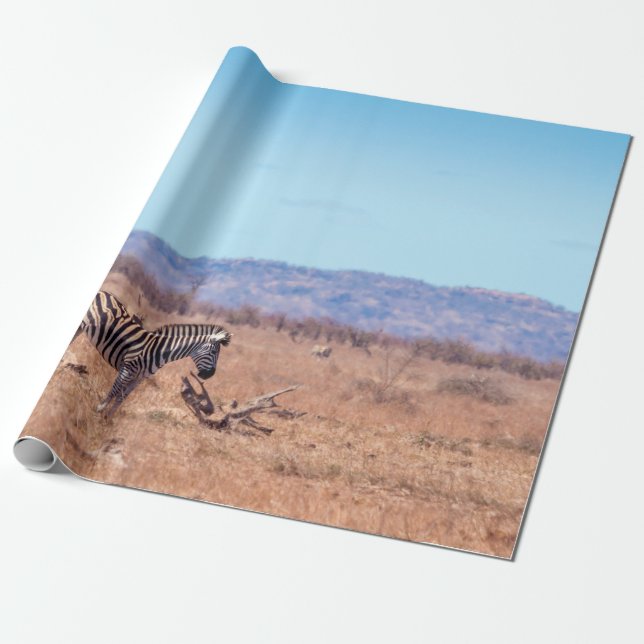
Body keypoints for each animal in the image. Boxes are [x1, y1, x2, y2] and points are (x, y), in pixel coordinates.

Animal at [74, 291, 231, 418]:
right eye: (213, 352)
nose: (209, 375)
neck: (158, 350)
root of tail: (104, 292)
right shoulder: (127, 369)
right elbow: (115, 390)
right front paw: (99, 411)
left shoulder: (139, 378)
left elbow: (121, 398)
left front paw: (107, 418)